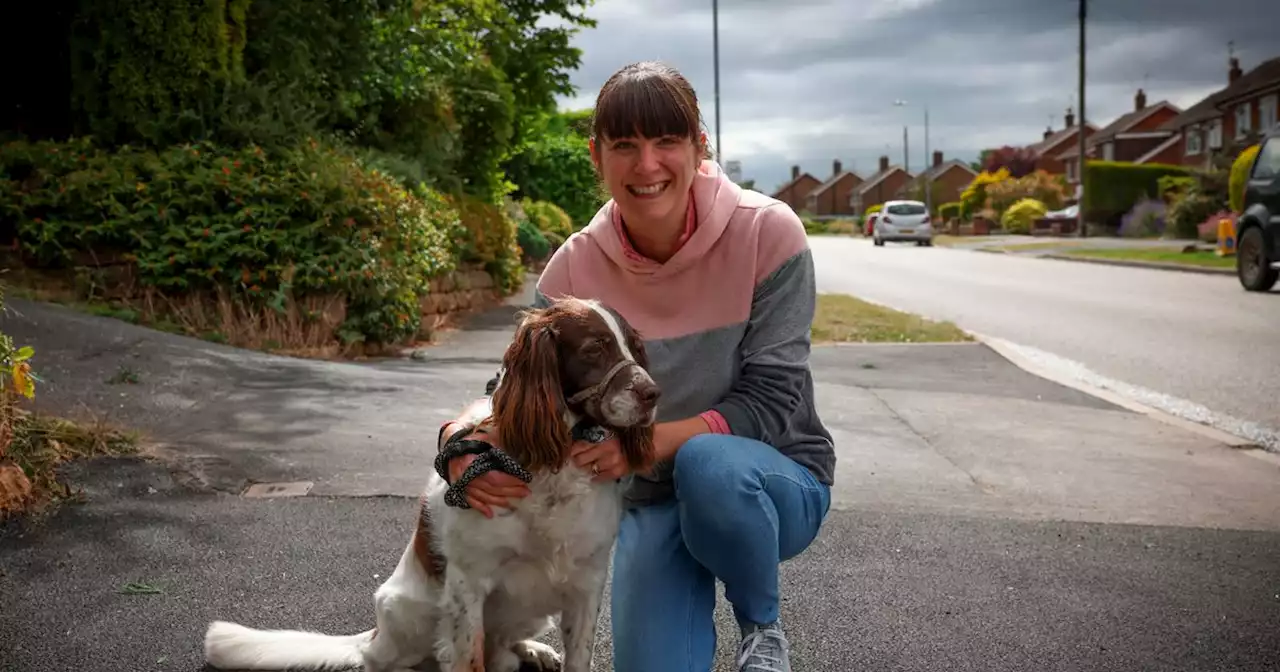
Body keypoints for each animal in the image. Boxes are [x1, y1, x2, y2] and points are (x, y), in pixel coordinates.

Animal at [202, 298, 660, 670]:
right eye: (594, 348)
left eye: (635, 348)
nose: (653, 394)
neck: (554, 465)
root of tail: (375, 634)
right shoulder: (467, 584)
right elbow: (467, 658)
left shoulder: (586, 582)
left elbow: (579, 656)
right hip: (408, 611)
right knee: (386, 661)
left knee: (502, 649)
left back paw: (532, 650)